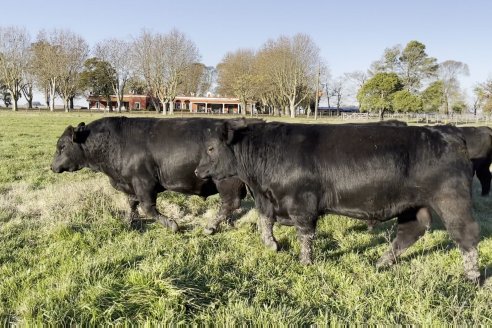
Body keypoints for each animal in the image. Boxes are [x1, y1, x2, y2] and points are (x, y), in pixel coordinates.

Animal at [52, 116, 256, 234]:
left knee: (229, 203)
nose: (52, 166)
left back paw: (210, 227)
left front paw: (172, 225)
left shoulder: (144, 182)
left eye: (62, 146)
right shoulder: (131, 183)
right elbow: (132, 203)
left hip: (227, 181)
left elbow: (147, 207)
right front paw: (128, 222)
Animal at [196, 120, 480, 282]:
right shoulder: (267, 199)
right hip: (413, 205)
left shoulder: (302, 203)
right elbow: (265, 220)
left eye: (211, 148)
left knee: (465, 236)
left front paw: (305, 262)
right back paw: (382, 262)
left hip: (452, 200)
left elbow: (305, 234)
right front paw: (272, 245)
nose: (198, 171)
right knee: (411, 231)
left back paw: (472, 277)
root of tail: (449, 131)